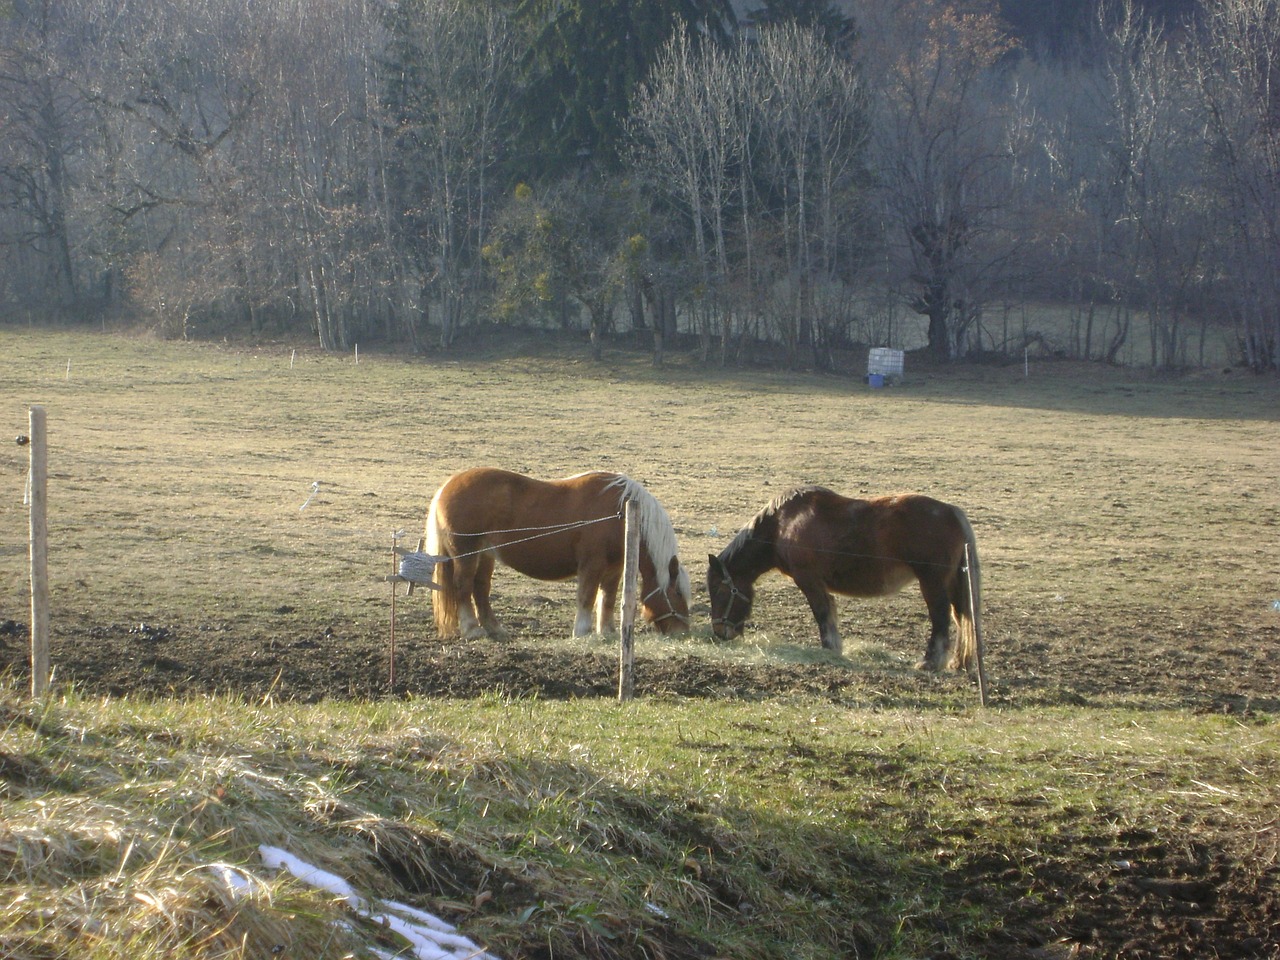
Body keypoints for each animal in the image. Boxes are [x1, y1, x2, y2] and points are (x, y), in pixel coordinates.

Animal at [427, 471, 691, 642]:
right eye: (678, 593)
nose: (683, 631)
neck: (622, 513)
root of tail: (445, 488)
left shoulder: (614, 570)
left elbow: (607, 600)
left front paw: (607, 632)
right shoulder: (591, 565)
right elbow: (587, 597)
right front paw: (582, 631)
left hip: (485, 556)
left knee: (480, 589)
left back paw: (495, 630)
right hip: (466, 555)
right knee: (463, 587)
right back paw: (472, 630)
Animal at [706, 483, 983, 670]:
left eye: (720, 590)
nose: (720, 632)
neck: (782, 526)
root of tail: (953, 513)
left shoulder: (809, 581)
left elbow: (822, 614)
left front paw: (830, 648)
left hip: (933, 583)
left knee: (941, 618)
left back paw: (930, 662)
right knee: (960, 616)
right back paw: (958, 662)